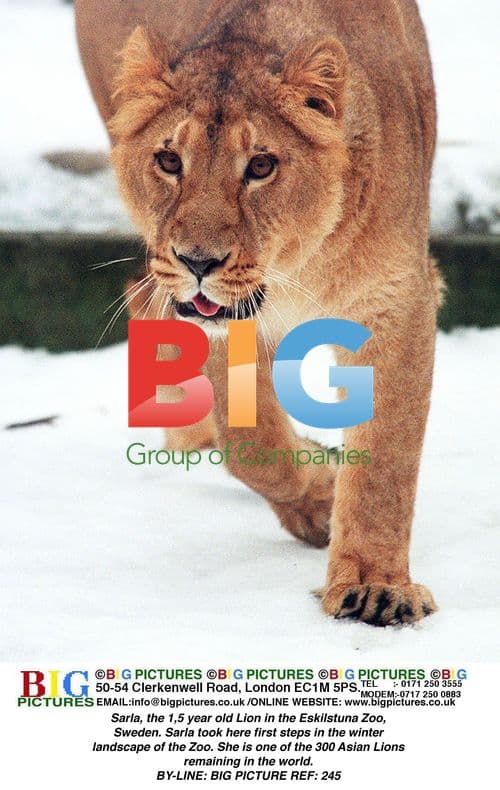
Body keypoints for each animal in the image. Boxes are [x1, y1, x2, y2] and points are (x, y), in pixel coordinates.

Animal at [76, 0, 442, 626]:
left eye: (262, 166)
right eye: (168, 160)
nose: (198, 261)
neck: (298, 265)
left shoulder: (398, 302)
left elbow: (385, 466)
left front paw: (375, 588)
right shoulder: (217, 325)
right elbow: (254, 447)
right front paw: (320, 493)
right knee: (144, 299)